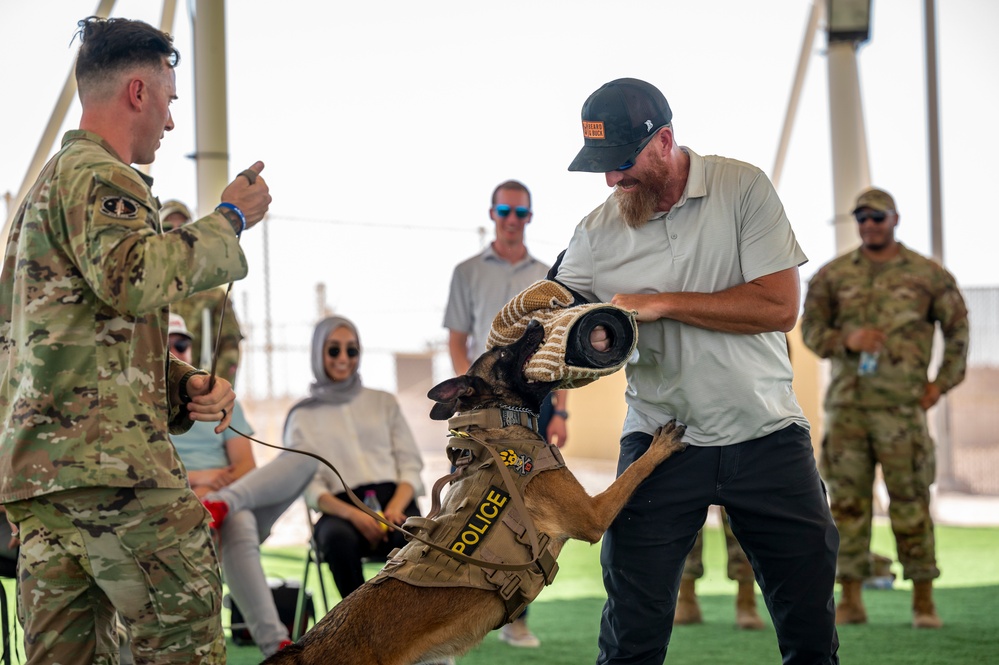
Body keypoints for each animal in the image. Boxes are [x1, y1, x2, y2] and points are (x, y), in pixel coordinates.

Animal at [266, 320, 688, 660]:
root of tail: (301, 649)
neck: (500, 421)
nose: (535, 322)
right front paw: (660, 446)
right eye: (503, 352)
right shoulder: (592, 517)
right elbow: (633, 470)